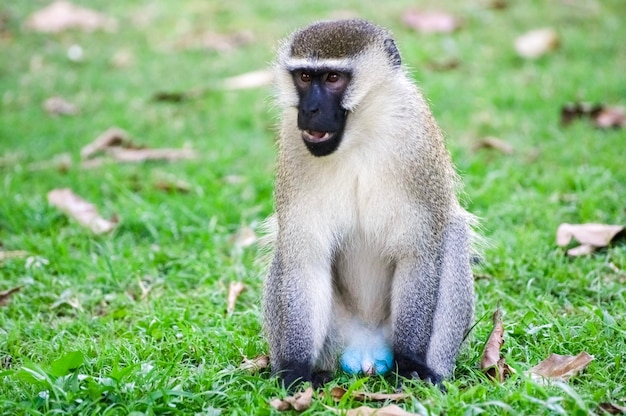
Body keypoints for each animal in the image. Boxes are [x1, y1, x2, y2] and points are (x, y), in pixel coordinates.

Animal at [262, 18, 472, 390]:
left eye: (333, 78)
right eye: (305, 77)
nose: (310, 110)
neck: (358, 136)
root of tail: (367, 346)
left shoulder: (416, 137)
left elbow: (418, 254)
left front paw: (411, 361)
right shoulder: (292, 139)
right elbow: (304, 259)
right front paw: (294, 370)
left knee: (453, 231)